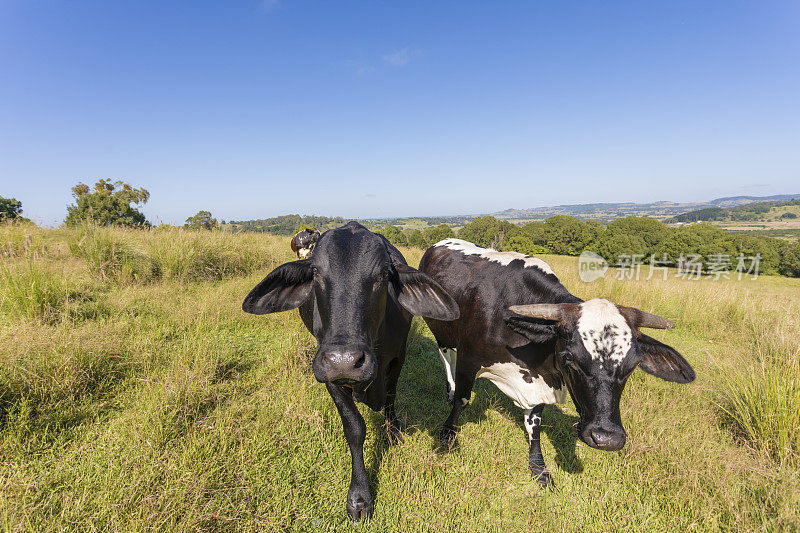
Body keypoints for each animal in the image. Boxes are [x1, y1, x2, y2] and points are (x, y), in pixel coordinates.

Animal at [242, 220, 456, 520]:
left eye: (384, 274)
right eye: (316, 272)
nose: (344, 360)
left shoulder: (398, 358)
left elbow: (391, 397)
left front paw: (392, 430)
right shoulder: (328, 373)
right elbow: (355, 428)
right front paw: (359, 496)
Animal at [418, 240, 692, 486]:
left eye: (633, 365)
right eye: (570, 357)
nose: (606, 438)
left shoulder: (539, 380)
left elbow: (535, 424)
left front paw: (539, 468)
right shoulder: (468, 359)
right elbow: (463, 400)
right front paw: (447, 436)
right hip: (442, 333)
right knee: (446, 358)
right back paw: (450, 389)